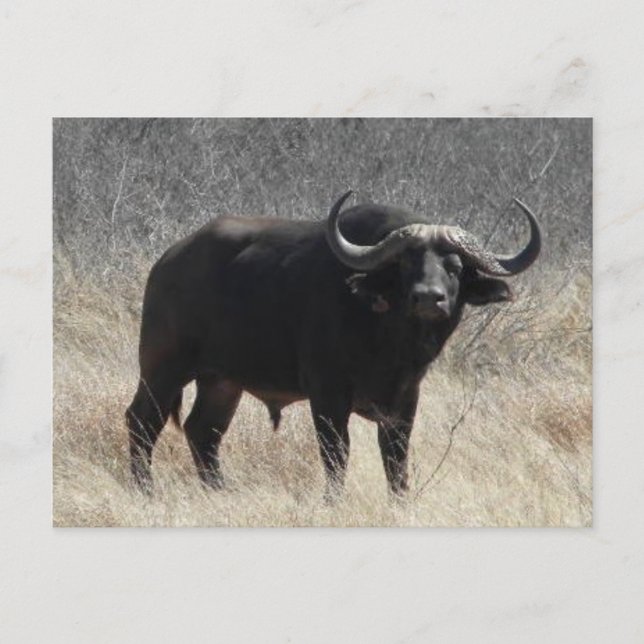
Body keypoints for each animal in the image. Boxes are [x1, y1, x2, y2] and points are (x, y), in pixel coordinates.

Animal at [126, 191, 541, 497]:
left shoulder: (405, 399)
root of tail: (168, 262)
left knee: (203, 431)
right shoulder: (327, 394)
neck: (389, 343)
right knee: (142, 420)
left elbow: (396, 460)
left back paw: (220, 490)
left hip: (222, 381)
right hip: (163, 367)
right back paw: (146, 490)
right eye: (407, 264)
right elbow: (336, 454)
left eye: (454, 268)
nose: (429, 298)